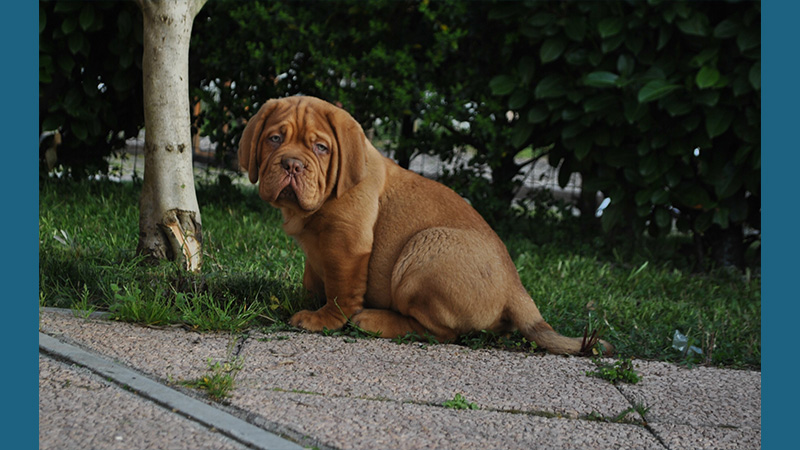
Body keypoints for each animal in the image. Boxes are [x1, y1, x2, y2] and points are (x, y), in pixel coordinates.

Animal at [238, 96, 612, 356]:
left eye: (321, 148)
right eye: (274, 139)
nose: (292, 164)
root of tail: (515, 289)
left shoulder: (347, 245)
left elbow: (341, 291)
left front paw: (323, 319)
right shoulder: (317, 252)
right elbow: (314, 278)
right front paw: (294, 298)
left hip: (424, 249)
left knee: (443, 333)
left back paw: (374, 320)